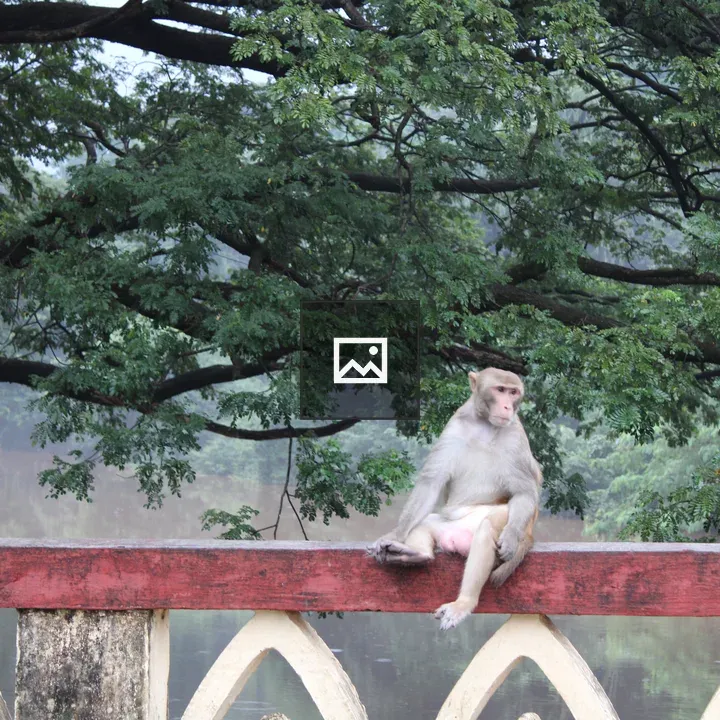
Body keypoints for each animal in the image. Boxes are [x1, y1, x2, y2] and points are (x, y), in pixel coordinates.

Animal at [368, 367, 542, 629]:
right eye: (500, 390)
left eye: (513, 393)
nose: (506, 407)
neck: (485, 425)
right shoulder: (454, 428)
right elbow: (431, 484)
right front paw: (395, 535)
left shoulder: (515, 436)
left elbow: (524, 491)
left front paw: (511, 538)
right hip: (451, 525)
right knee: (426, 522)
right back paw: (415, 553)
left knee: (488, 527)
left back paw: (464, 602)